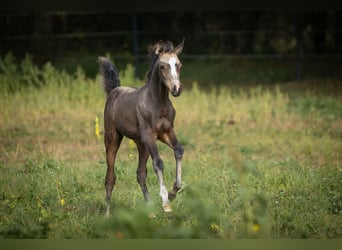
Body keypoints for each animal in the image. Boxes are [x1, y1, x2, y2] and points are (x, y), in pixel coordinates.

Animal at [97, 39, 186, 215]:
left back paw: (150, 210)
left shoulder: (166, 133)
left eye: (179, 65)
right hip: (112, 139)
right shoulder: (150, 136)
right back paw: (107, 214)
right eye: (162, 66)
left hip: (142, 144)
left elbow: (179, 150)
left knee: (140, 173)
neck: (158, 103)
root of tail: (115, 90)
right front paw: (166, 202)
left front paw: (174, 192)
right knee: (110, 177)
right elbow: (158, 162)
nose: (176, 89)